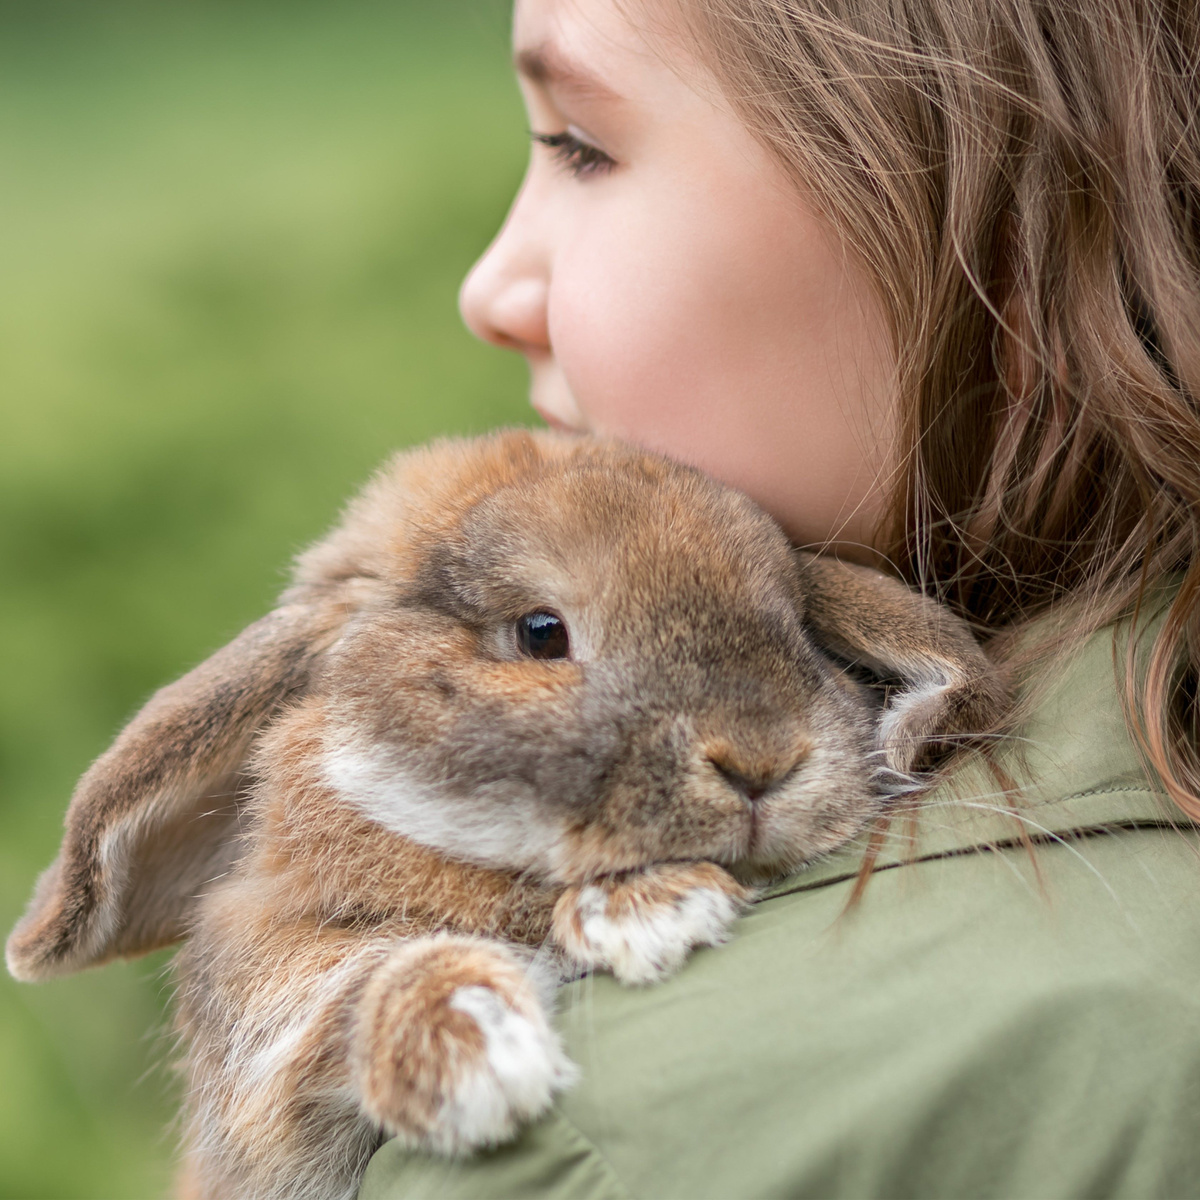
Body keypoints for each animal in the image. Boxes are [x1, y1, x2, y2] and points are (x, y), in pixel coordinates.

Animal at [4, 432, 1008, 1200]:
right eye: (539, 633)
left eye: (801, 627)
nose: (762, 761)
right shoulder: (261, 1059)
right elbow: (350, 987)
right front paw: (475, 1051)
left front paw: (644, 910)